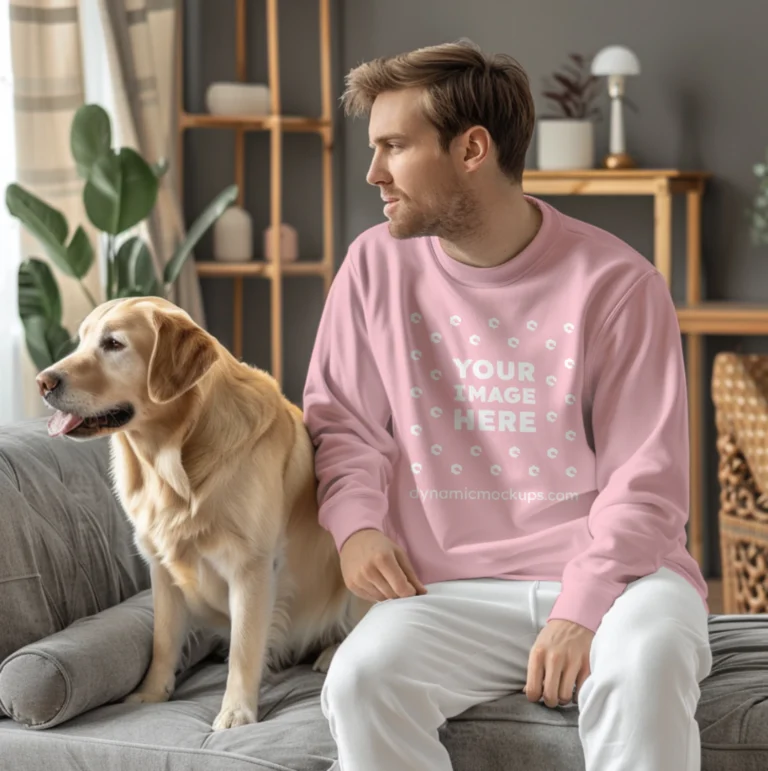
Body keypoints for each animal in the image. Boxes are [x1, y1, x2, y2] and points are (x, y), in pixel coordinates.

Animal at [35, 296, 368, 728]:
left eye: (113, 344)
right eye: (81, 340)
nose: (43, 382)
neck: (173, 459)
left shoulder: (251, 567)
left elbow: (245, 647)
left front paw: (236, 711)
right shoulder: (161, 568)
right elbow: (163, 640)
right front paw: (152, 693)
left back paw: (331, 652)